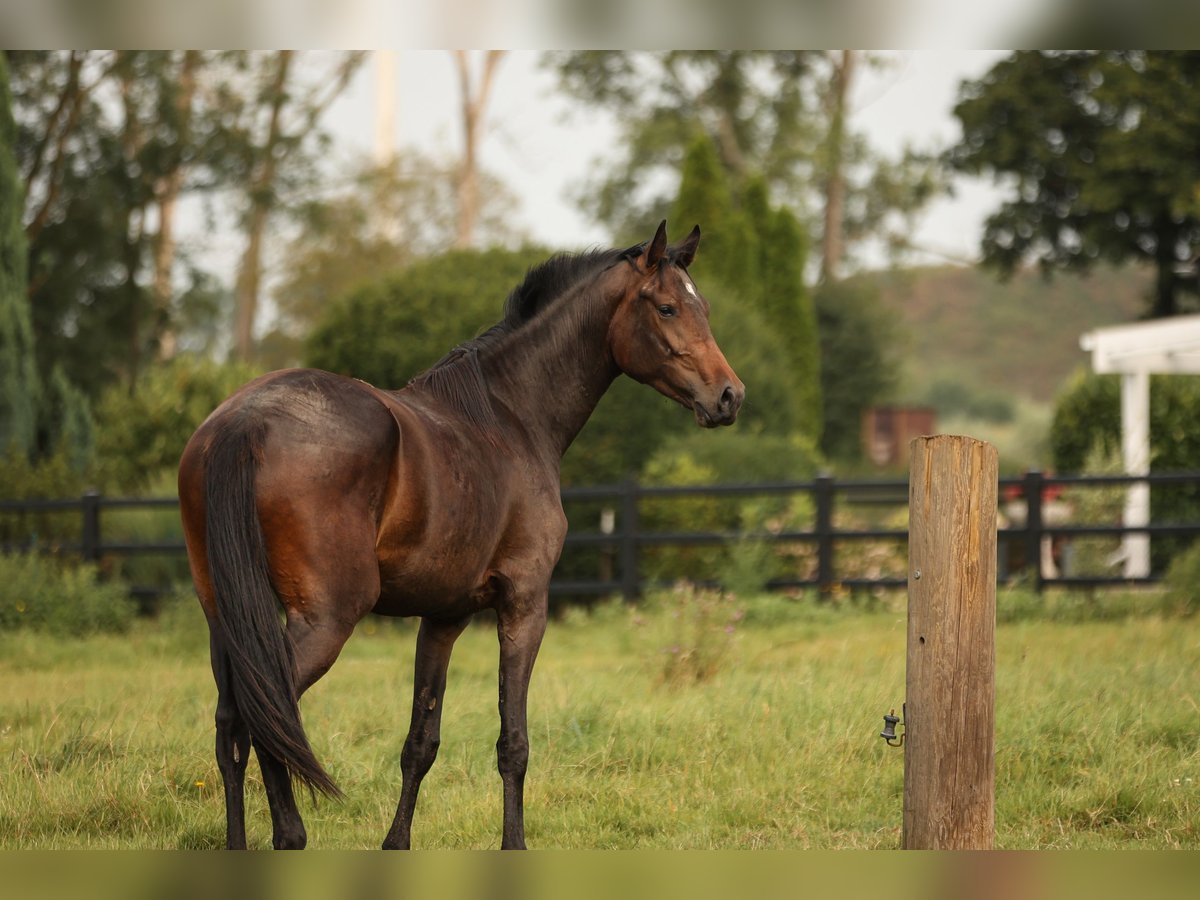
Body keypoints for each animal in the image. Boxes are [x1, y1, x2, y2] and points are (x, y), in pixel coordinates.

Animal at [178, 222, 744, 849]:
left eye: (703, 307)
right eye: (667, 307)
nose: (729, 396)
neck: (508, 418)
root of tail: (244, 421)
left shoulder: (443, 616)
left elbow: (420, 742)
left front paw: (396, 844)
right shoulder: (524, 604)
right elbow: (513, 743)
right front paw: (513, 844)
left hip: (225, 619)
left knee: (231, 725)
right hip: (324, 619)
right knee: (266, 715)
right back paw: (291, 834)